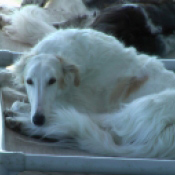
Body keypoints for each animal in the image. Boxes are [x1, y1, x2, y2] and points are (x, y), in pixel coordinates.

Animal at [2, 28, 175, 159]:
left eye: (52, 80)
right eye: (29, 81)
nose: (38, 119)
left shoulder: (76, 103)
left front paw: (22, 109)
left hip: (137, 110)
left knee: (78, 123)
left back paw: (21, 120)